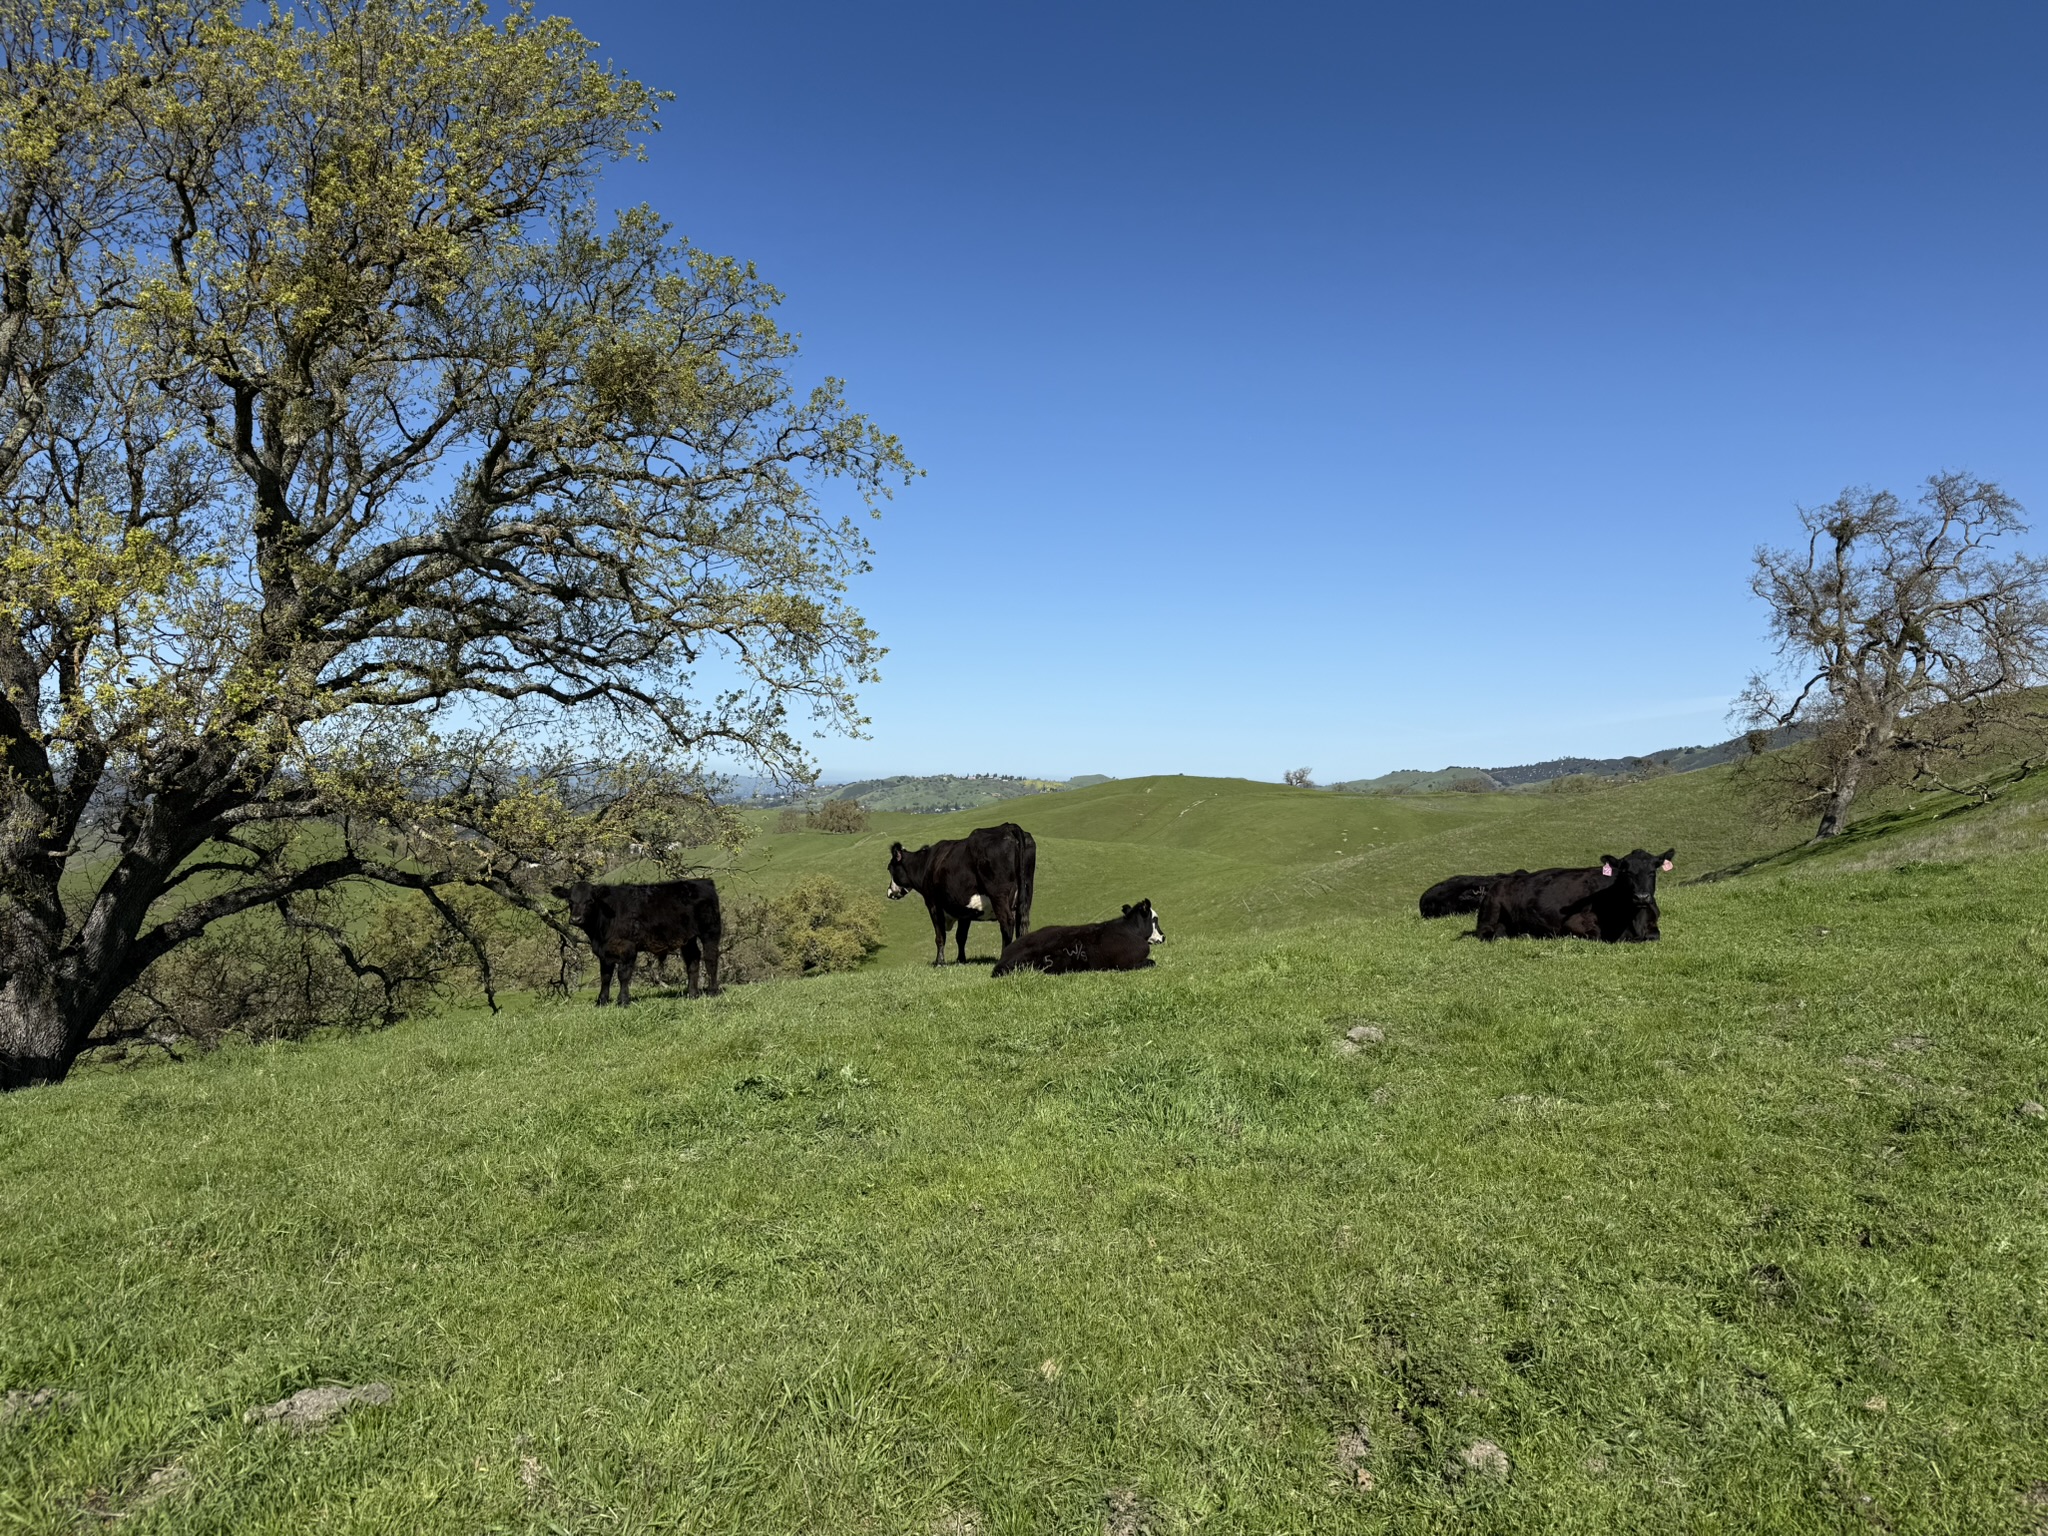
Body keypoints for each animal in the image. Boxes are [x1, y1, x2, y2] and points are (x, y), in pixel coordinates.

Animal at [552, 876, 729, 1011]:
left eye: (590, 901)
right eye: (570, 900)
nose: (576, 919)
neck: (599, 933)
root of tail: (704, 881)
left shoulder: (628, 948)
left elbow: (623, 975)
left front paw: (623, 1001)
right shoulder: (604, 953)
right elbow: (605, 977)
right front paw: (601, 1001)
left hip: (710, 931)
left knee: (711, 959)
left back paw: (713, 991)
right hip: (688, 938)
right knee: (693, 960)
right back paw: (692, 994)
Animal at [884, 823, 1032, 966]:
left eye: (890, 868)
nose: (889, 892)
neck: (926, 864)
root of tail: (1008, 827)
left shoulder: (933, 904)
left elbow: (940, 936)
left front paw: (940, 962)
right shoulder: (964, 909)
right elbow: (961, 936)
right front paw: (961, 960)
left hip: (998, 896)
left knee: (1007, 923)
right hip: (1025, 896)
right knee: (1021, 923)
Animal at [1474, 847, 1679, 946]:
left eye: (1652, 872)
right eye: (1626, 872)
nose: (1641, 897)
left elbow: (1654, 935)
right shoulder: (1573, 922)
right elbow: (1597, 936)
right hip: (1490, 913)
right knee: (1487, 933)